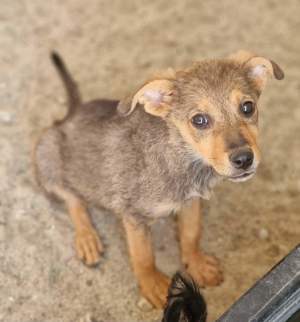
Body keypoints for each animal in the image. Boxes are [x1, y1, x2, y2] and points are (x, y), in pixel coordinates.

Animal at [32, 50, 284, 306]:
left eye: (247, 107)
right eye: (199, 120)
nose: (244, 159)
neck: (183, 158)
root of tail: (68, 116)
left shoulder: (191, 201)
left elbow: (191, 233)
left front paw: (197, 264)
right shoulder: (133, 214)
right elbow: (143, 255)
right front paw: (153, 285)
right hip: (47, 156)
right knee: (71, 197)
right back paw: (87, 237)